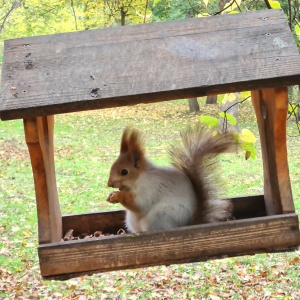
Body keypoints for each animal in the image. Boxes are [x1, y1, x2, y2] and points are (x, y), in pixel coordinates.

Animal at [106, 124, 238, 232]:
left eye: (124, 172)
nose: (110, 184)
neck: (138, 179)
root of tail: (190, 223)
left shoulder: (150, 187)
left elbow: (141, 203)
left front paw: (117, 196)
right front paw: (112, 195)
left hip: (160, 215)